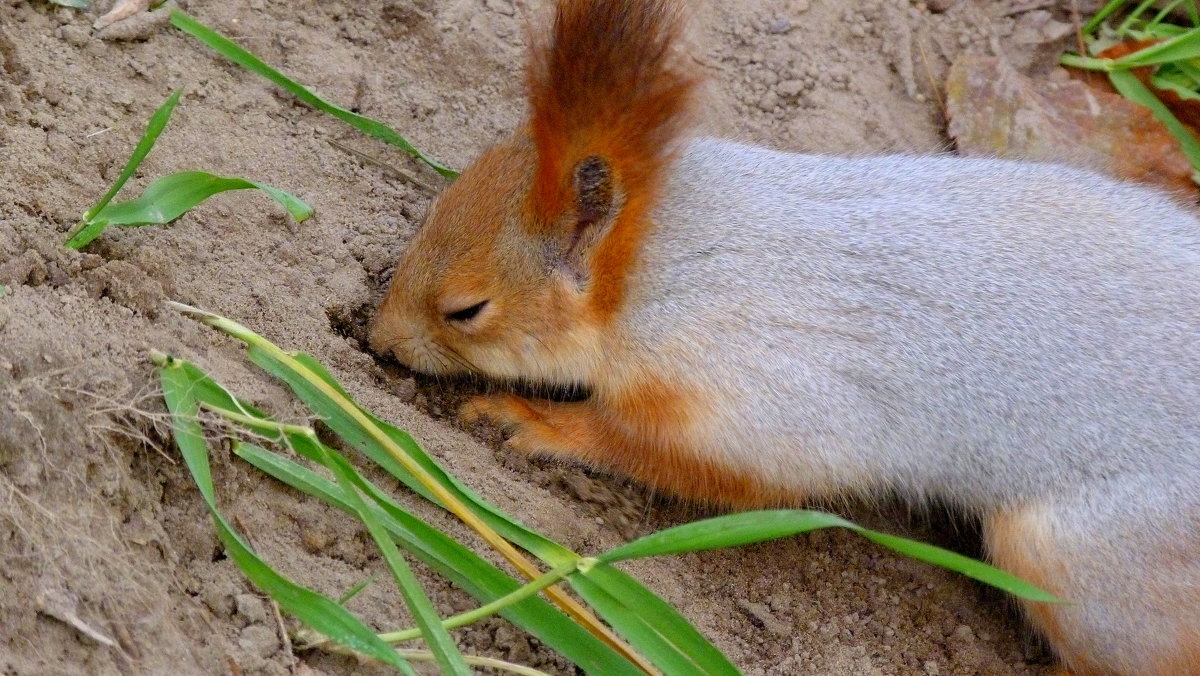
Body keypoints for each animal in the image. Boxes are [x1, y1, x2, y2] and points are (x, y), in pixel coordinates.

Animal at [364, 1, 1200, 672]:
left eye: (466, 309)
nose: (379, 340)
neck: (659, 261)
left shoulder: (739, 387)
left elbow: (679, 458)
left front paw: (533, 420)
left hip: (1088, 568)